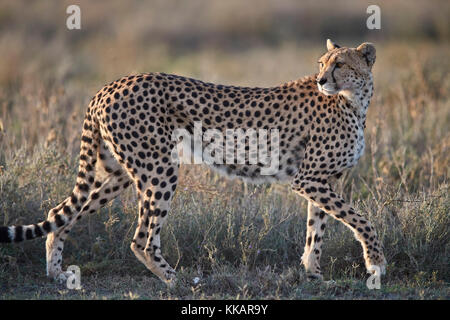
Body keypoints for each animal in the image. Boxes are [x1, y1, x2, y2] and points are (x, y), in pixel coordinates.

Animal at [0, 40, 386, 284]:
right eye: (322, 64)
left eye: (340, 64)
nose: (321, 80)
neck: (353, 99)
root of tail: (110, 85)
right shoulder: (308, 179)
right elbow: (360, 220)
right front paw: (376, 264)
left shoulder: (323, 179)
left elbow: (316, 230)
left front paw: (313, 274)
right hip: (160, 169)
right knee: (141, 238)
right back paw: (177, 281)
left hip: (120, 172)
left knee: (60, 214)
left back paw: (56, 274)